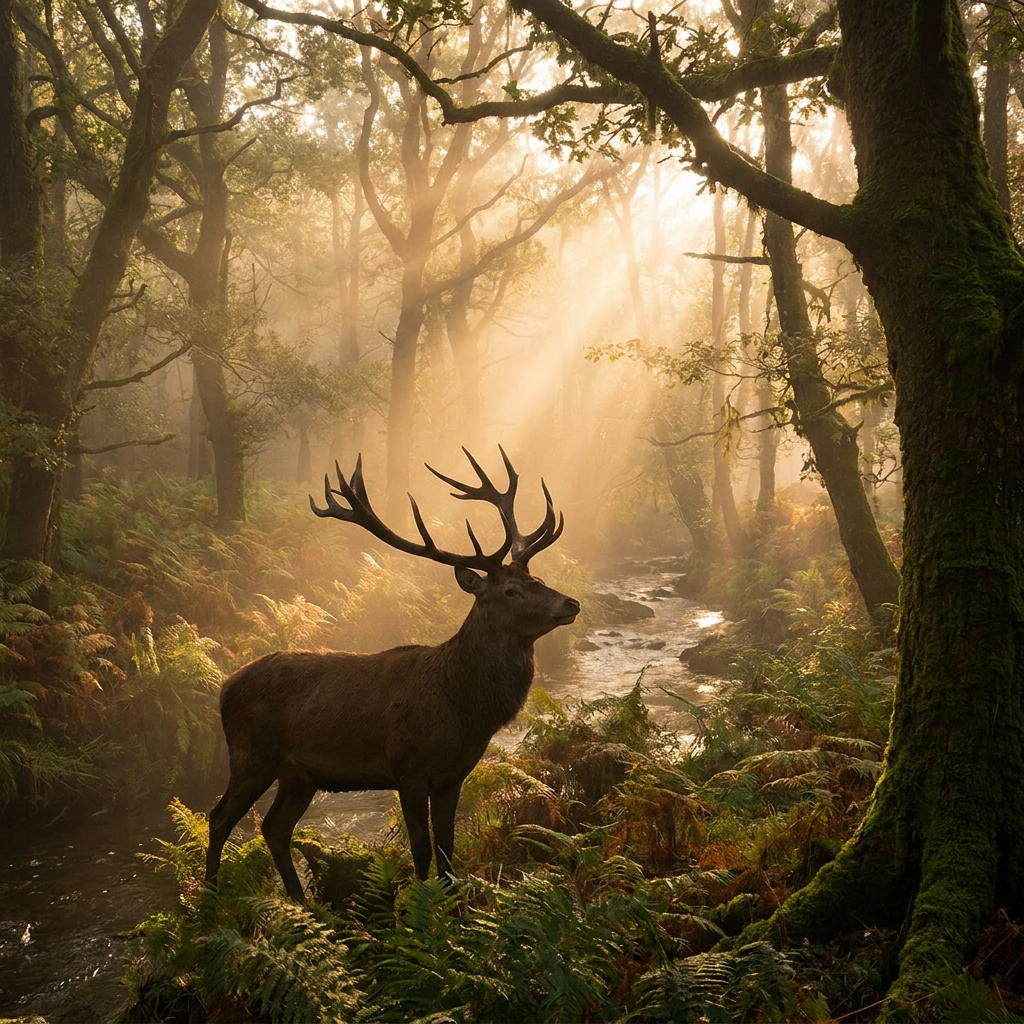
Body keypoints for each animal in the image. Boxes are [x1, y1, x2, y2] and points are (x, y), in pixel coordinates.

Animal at [204, 447, 580, 901]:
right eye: (512, 590)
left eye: (537, 578)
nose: (571, 603)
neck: (463, 708)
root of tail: (225, 685)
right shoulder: (408, 768)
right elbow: (421, 850)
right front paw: (422, 907)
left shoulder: (453, 775)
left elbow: (448, 849)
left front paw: (453, 906)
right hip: (252, 754)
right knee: (219, 817)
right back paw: (208, 901)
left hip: (300, 774)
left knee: (274, 827)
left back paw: (302, 904)